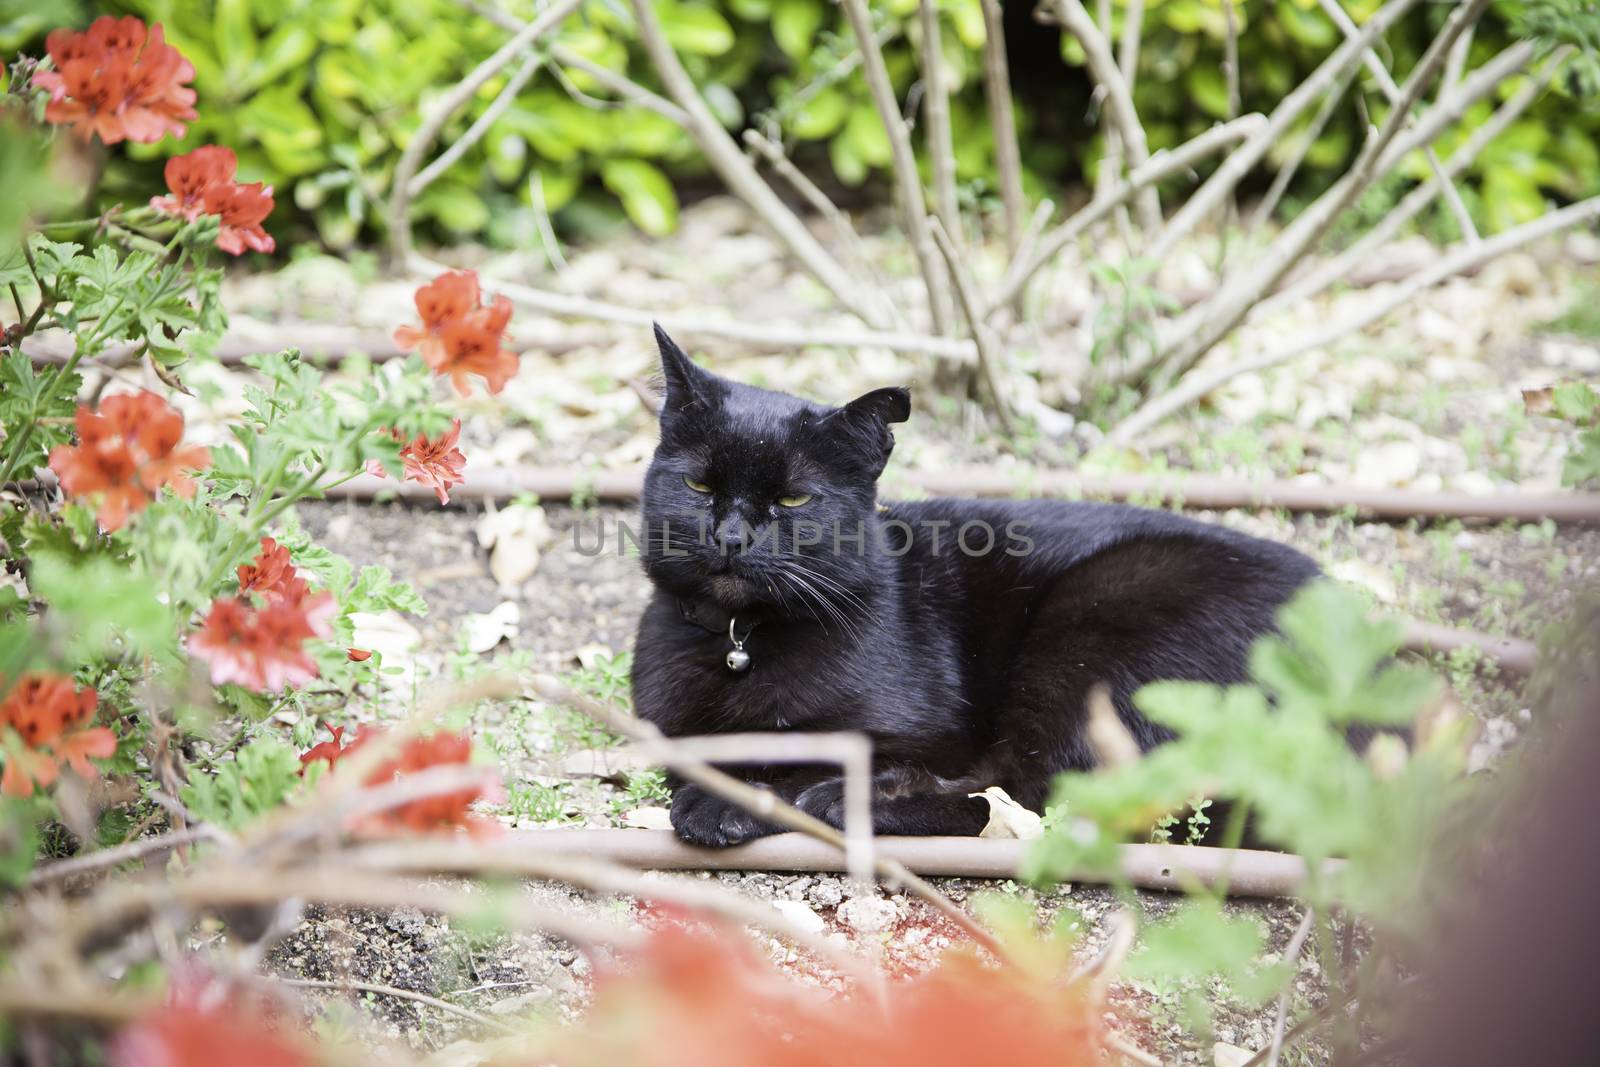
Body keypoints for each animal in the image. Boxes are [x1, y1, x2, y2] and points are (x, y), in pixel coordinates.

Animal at [630, 327, 1318, 851]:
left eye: (793, 499)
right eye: (698, 486)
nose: (730, 536)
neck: (741, 639)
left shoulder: (925, 734)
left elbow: (810, 748)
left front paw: (727, 801)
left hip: (1097, 628)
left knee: (1031, 798)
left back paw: (848, 804)